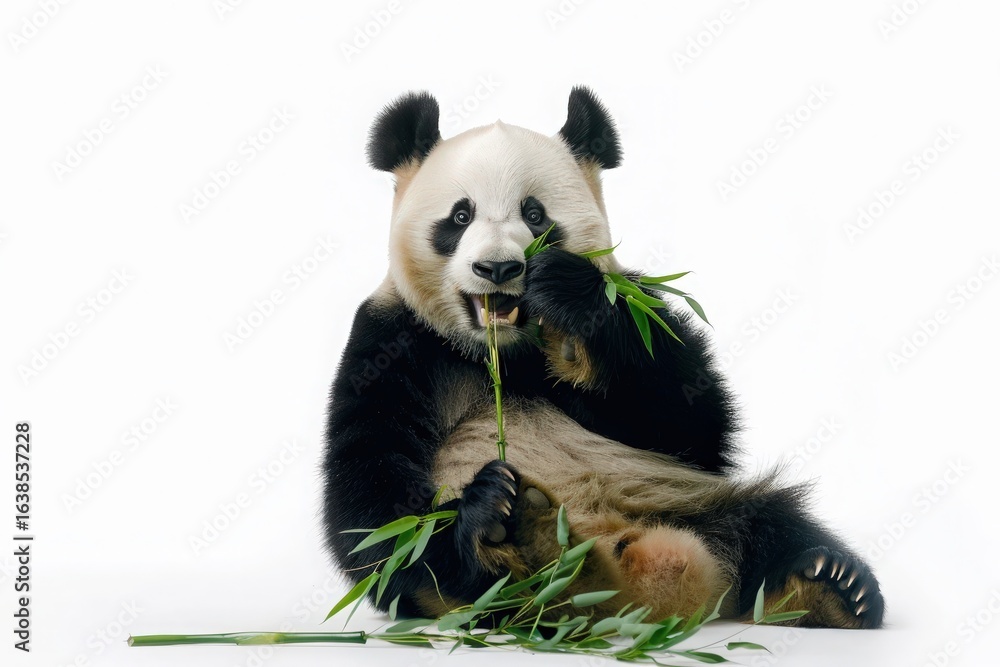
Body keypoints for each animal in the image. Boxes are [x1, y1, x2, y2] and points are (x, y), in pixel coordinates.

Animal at [322, 87, 885, 630]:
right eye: (460, 216)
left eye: (535, 215)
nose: (498, 268)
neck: (501, 355)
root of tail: (631, 592)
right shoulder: (391, 343)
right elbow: (371, 500)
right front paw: (477, 512)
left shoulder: (637, 308)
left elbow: (691, 425)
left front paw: (569, 309)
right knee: (461, 584)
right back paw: (516, 543)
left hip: (678, 498)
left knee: (770, 522)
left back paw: (830, 585)